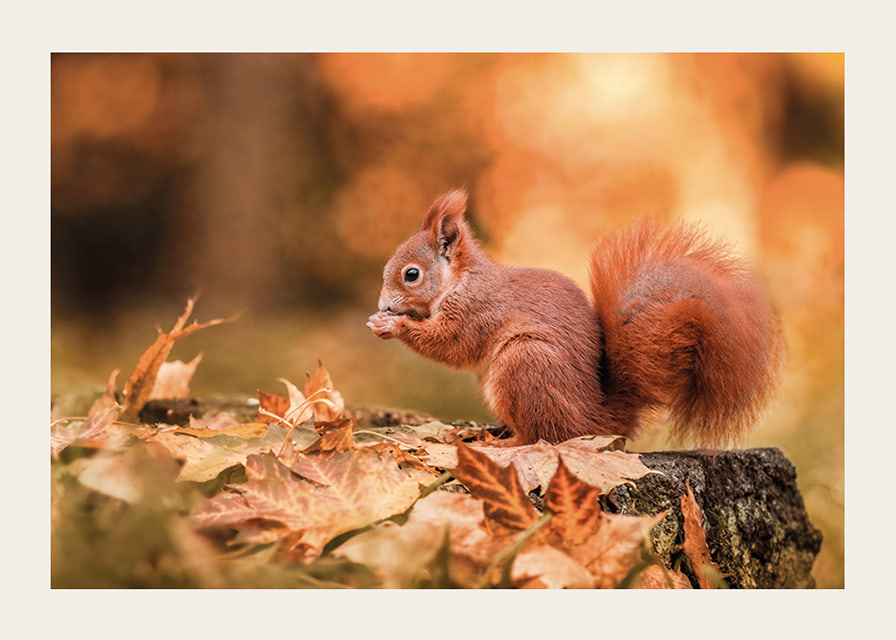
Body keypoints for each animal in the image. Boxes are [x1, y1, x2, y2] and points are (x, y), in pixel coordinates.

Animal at [366, 189, 784, 448]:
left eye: (411, 274)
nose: (383, 305)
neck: (460, 281)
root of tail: (596, 422)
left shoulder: (478, 311)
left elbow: (450, 344)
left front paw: (392, 326)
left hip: (525, 364)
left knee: (544, 437)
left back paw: (504, 443)